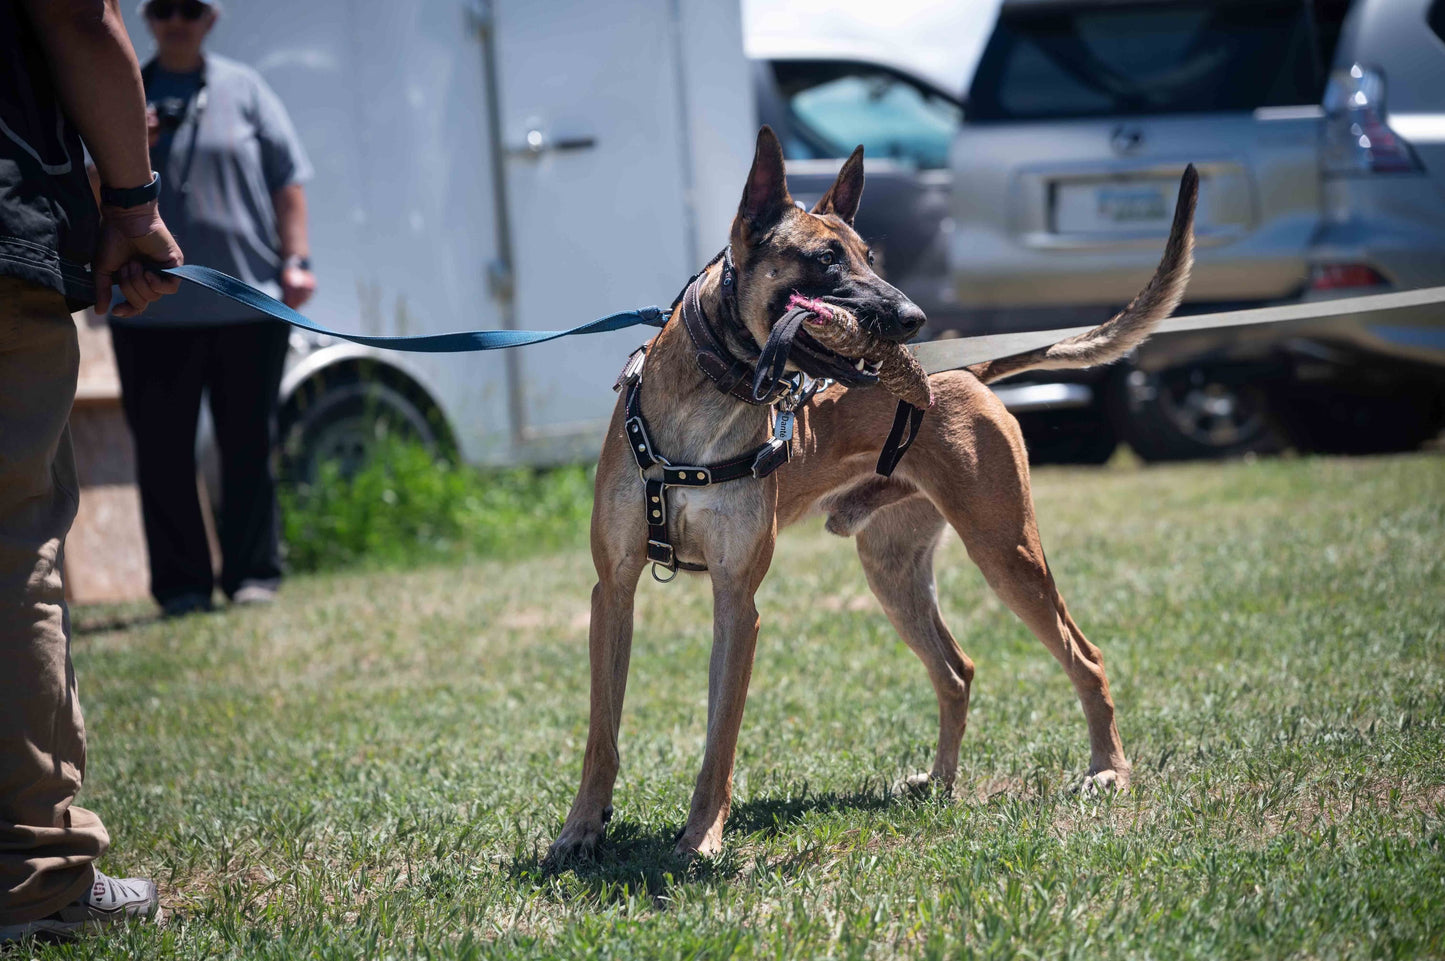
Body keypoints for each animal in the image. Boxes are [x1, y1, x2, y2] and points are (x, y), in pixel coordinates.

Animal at [543, 129, 1196, 861]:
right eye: (825, 259)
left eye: (869, 257)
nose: (911, 316)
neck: (707, 400)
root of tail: (966, 371)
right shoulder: (614, 589)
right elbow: (601, 732)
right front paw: (580, 828)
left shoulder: (736, 601)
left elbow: (719, 740)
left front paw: (702, 835)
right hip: (893, 570)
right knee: (956, 670)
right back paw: (940, 783)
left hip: (1005, 552)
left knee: (1084, 656)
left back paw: (1107, 769)